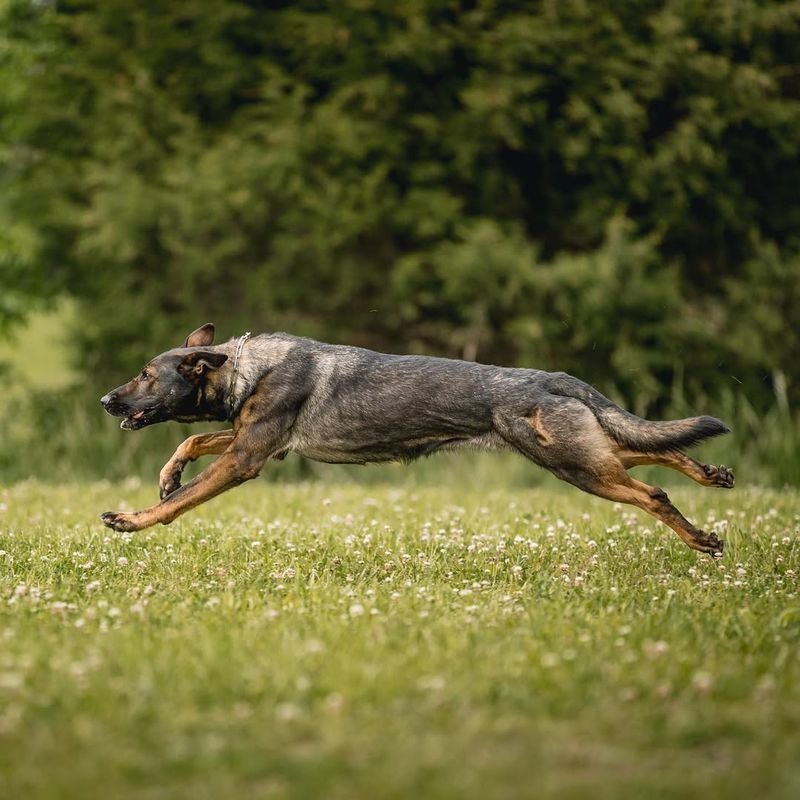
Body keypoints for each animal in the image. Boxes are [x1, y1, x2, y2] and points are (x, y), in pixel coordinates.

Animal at [101, 322, 736, 552]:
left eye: (145, 375)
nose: (107, 400)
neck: (245, 369)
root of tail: (552, 377)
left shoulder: (248, 455)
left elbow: (182, 501)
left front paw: (133, 519)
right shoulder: (253, 441)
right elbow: (188, 446)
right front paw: (167, 475)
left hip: (572, 463)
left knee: (651, 492)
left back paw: (702, 538)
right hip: (579, 450)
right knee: (655, 449)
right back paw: (712, 473)